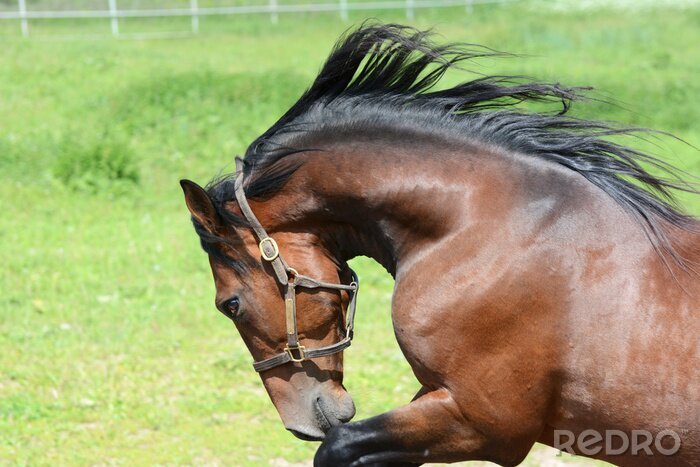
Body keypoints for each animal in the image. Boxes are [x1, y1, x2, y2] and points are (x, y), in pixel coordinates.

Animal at [182, 25, 700, 467]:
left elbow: (337, 449)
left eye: (229, 304)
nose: (301, 422)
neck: (480, 233)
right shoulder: (438, 398)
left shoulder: (485, 423)